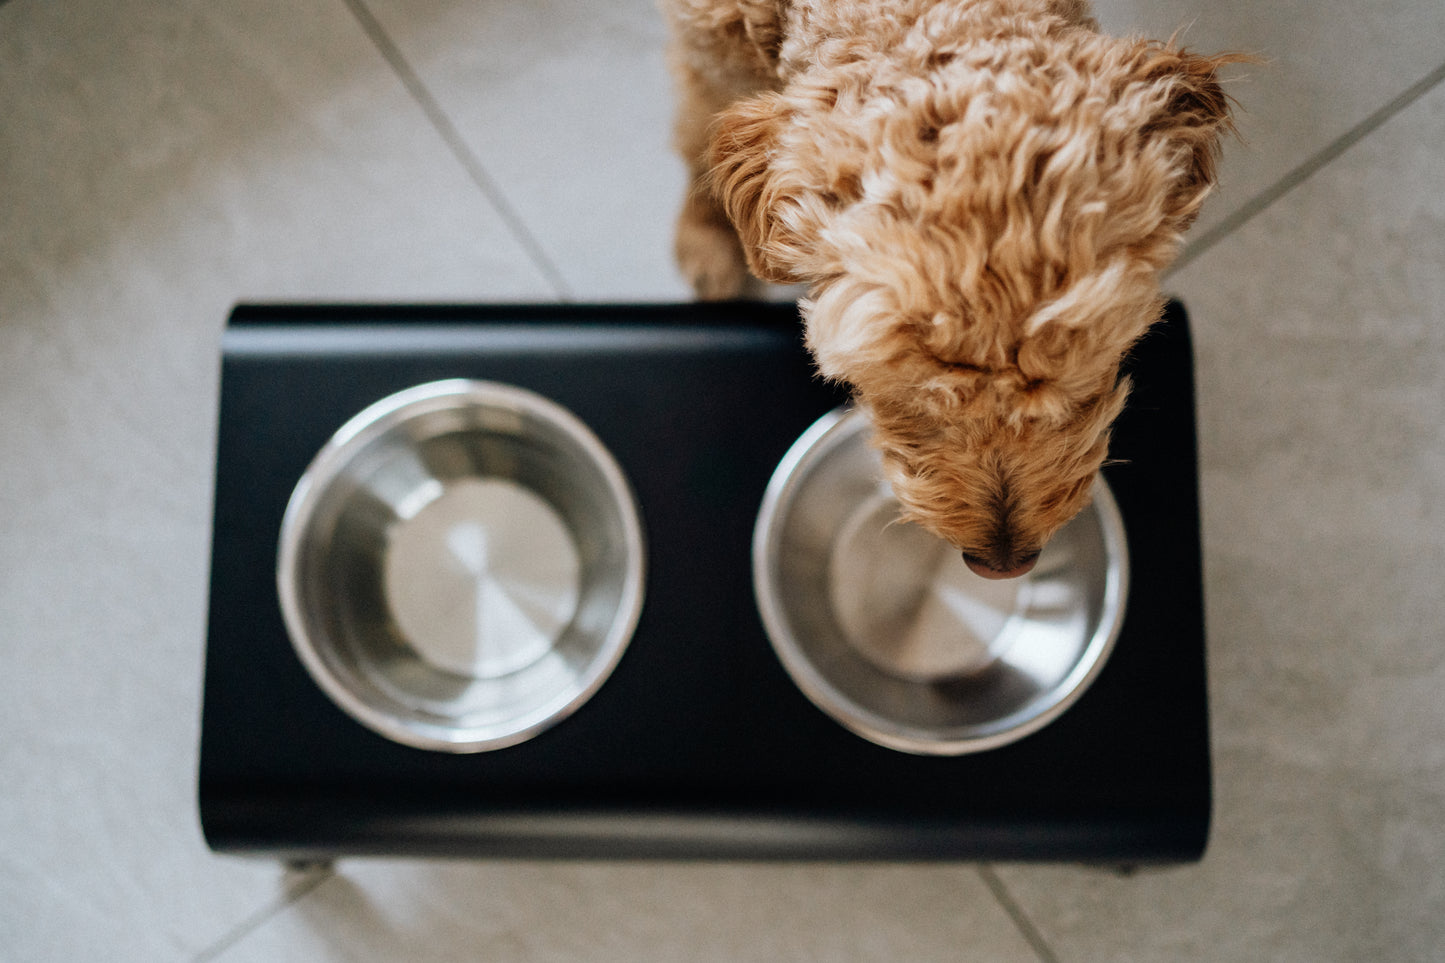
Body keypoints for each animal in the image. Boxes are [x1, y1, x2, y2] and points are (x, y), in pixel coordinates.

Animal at [664, 0, 1242, 578]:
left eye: (1088, 375)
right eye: (906, 397)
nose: (1004, 564)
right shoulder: (706, 58)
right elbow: (696, 135)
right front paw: (707, 237)